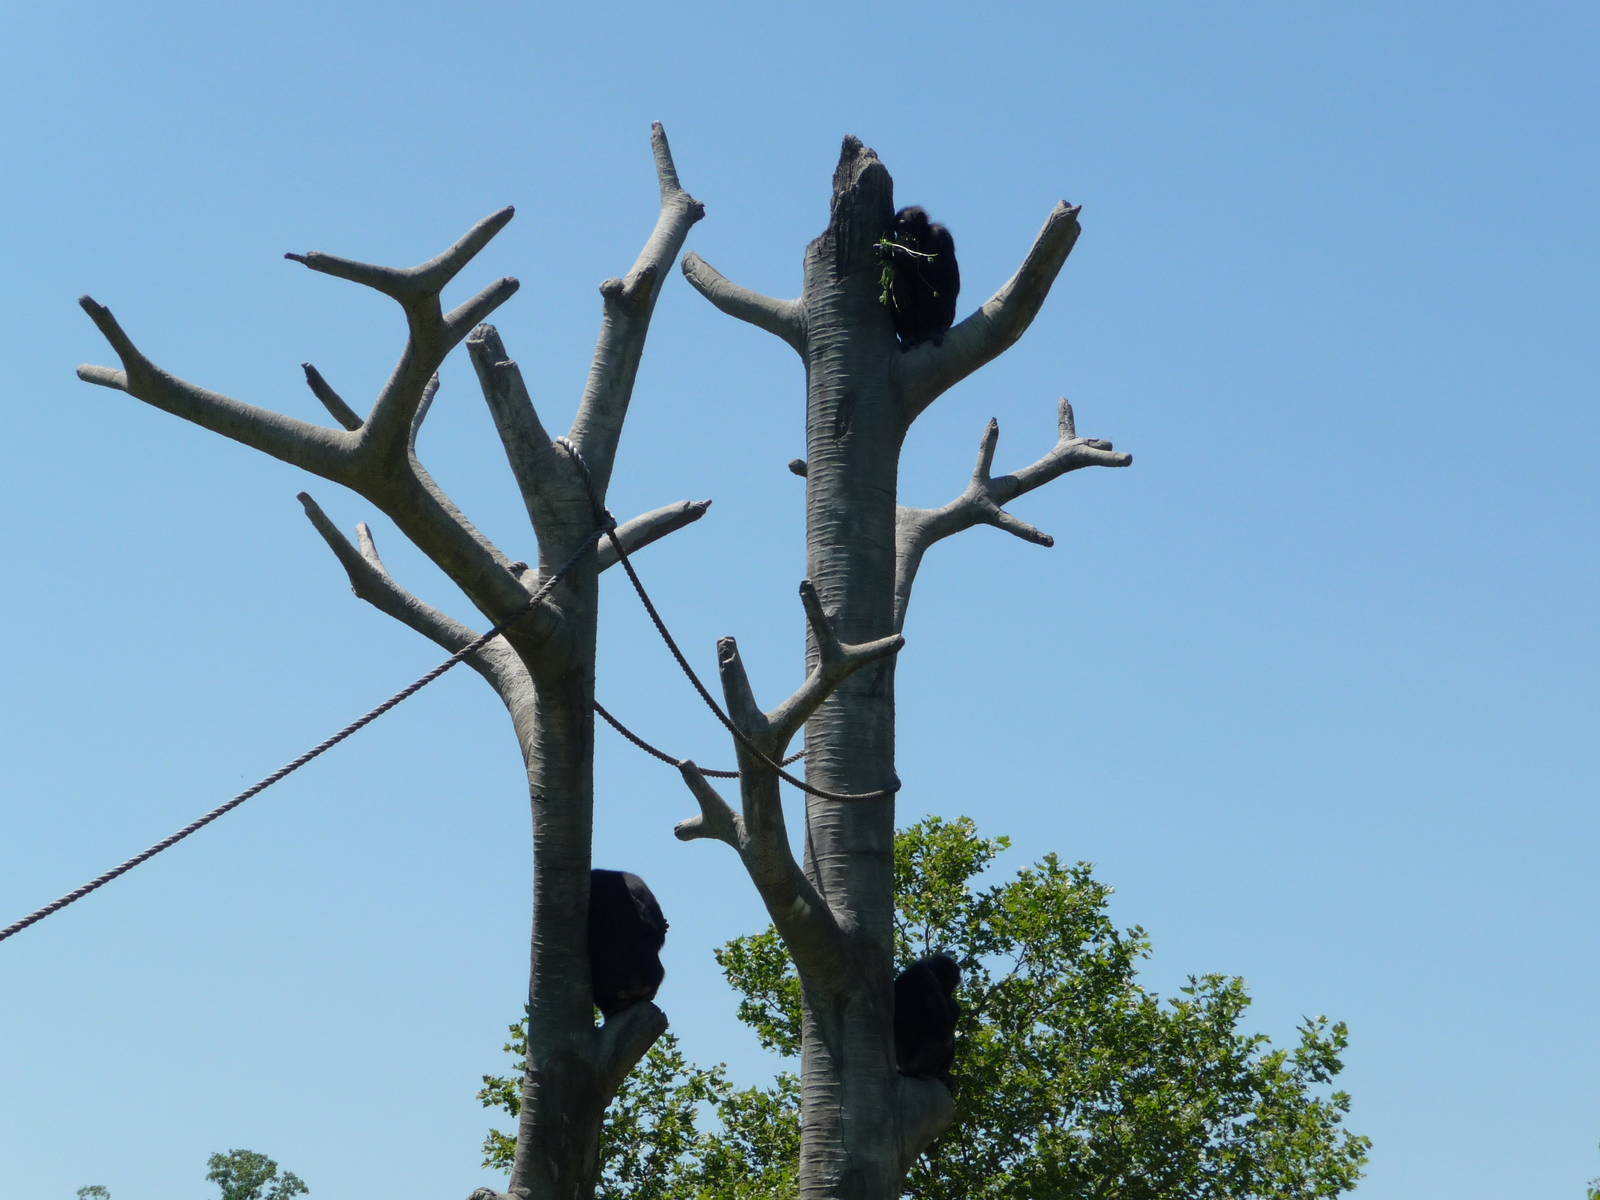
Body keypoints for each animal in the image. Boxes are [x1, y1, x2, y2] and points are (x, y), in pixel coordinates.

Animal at [876, 206, 961, 349]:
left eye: (904, 226)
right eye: (897, 229)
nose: (900, 235)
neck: (923, 236)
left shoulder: (940, 235)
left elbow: (935, 271)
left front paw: (891, 251)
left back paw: (937, 330)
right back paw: (908, 337)